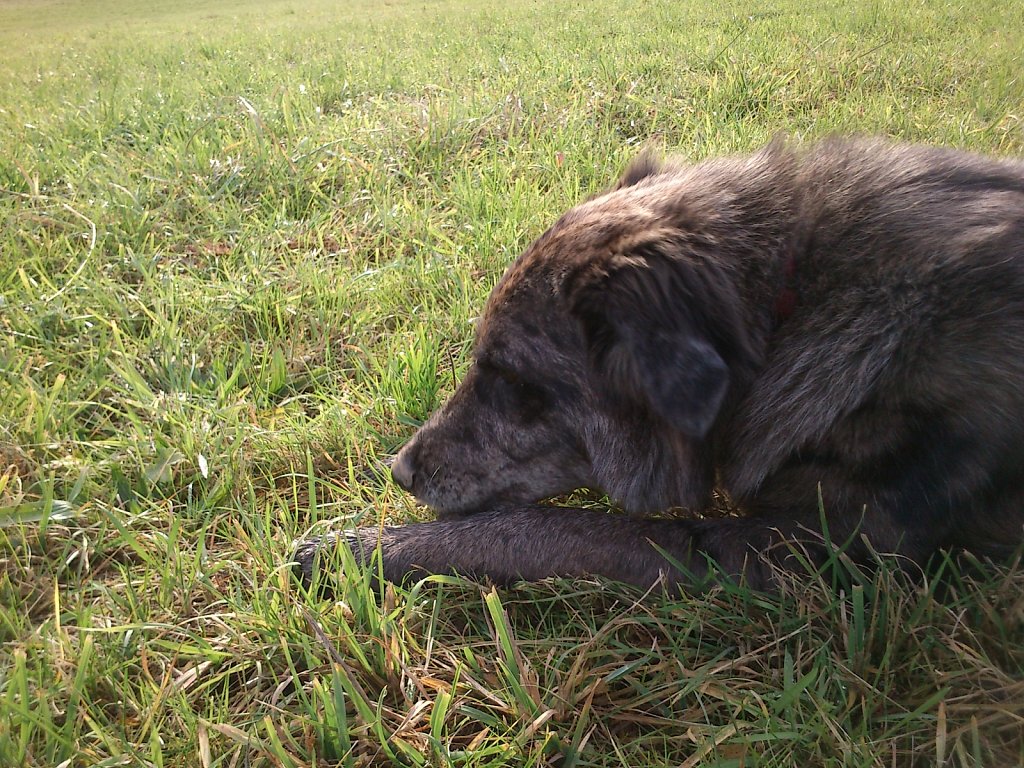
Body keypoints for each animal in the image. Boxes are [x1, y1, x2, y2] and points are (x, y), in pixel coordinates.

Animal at [294, 138, 1024, 593]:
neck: (785, 309)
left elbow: (544, 529)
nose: (399, 470)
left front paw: (362, 549)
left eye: (513, 380)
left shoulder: (790, 553)